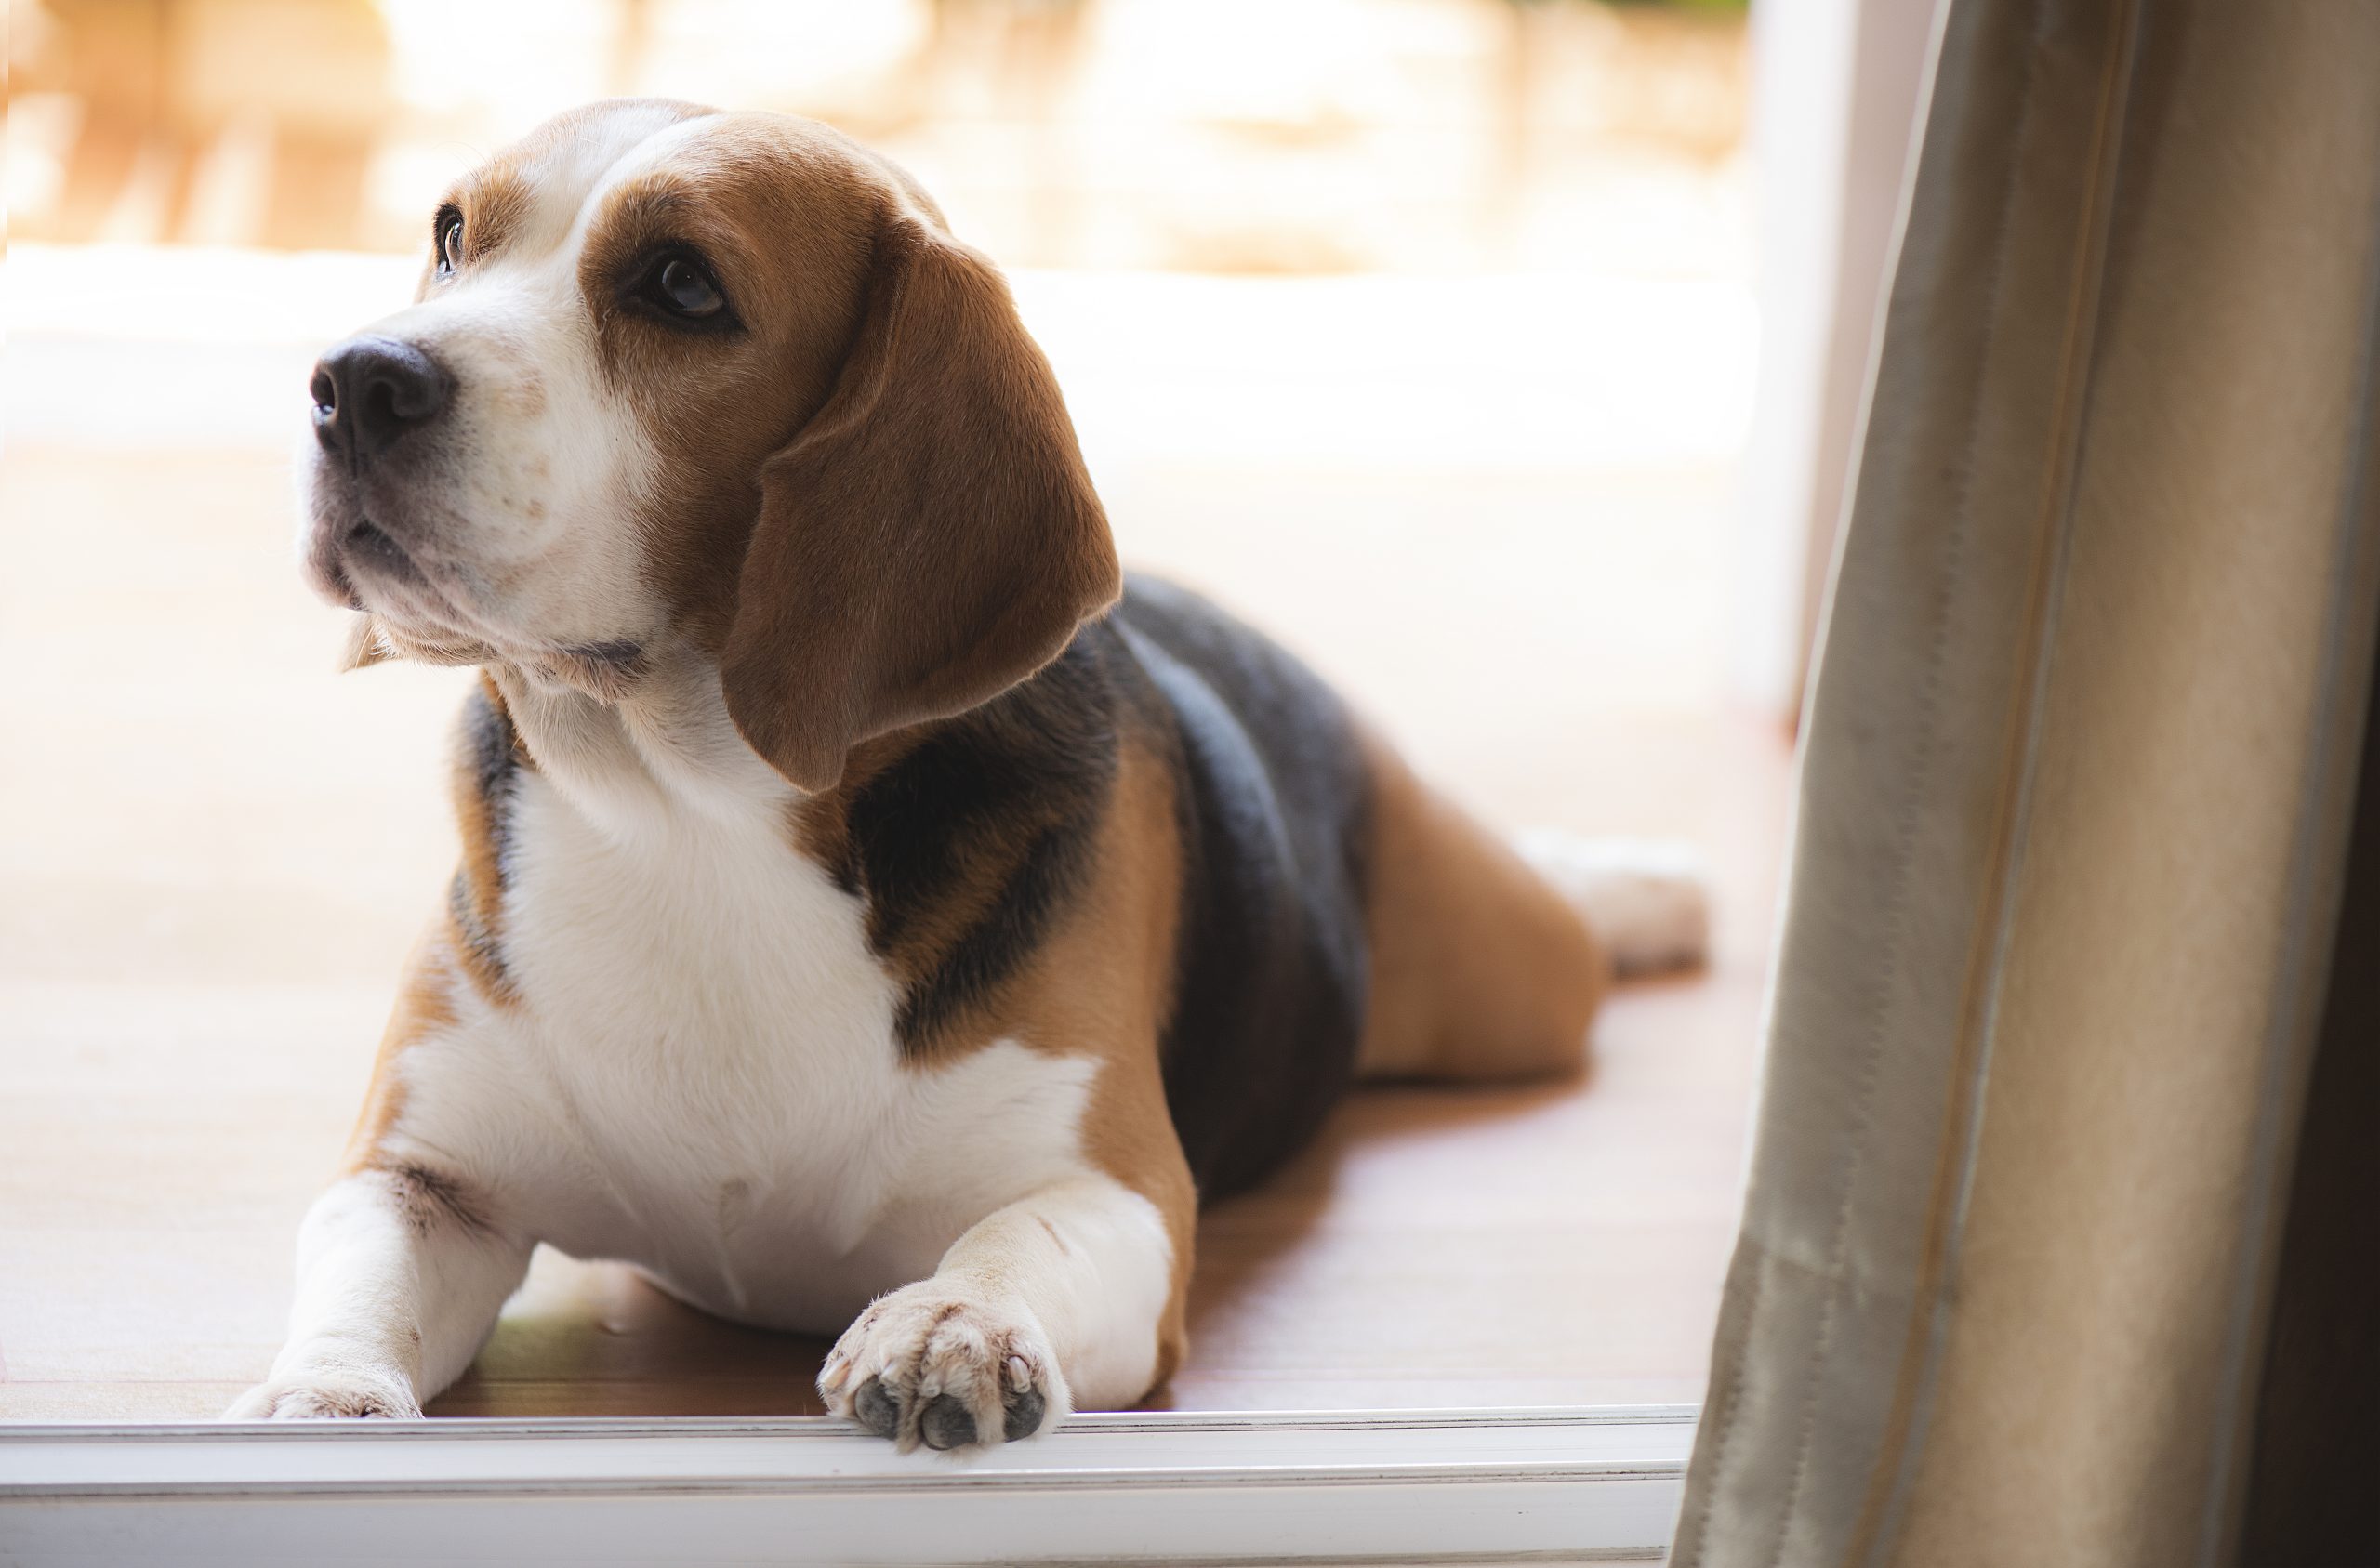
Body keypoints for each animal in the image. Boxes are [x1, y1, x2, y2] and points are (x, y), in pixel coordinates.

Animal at [231, 95, 1703, 1446]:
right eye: (451, 236)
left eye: (683, 286)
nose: (354, 379)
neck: (691, 817)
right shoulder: (427, 1171)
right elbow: (363, 1270)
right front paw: (321, 1401)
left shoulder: (1115, 1194)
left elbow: (1015, 1241)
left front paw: (955, 1320)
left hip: (1507, 983)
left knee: (1559, 925)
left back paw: (1638, 888)